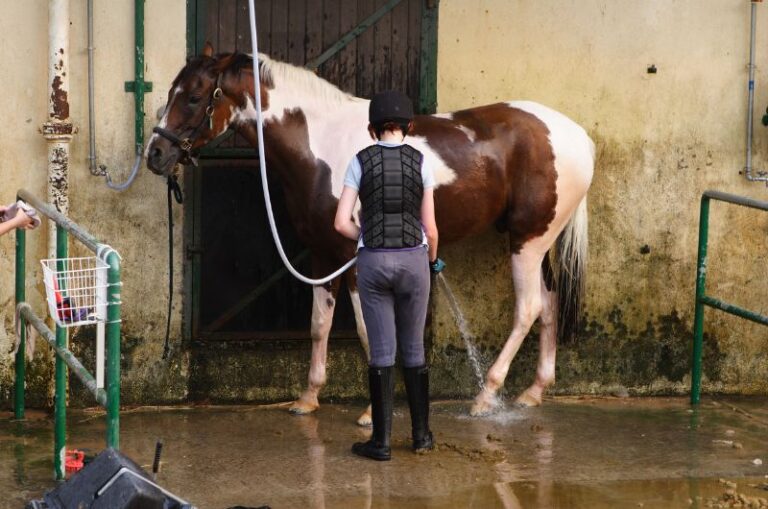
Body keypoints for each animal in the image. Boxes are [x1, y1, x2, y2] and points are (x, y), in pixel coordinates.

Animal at [146, 42, 594, 422]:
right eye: (172, 91)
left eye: (194, 97)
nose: (155, 154)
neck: (323, 146)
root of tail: (576, 135)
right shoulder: (323, 256)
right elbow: (319, 325)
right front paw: (308, 399)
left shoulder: (357, 258)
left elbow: (368, 330)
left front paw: (369, 412)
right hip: (536, 242)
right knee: (549, 305)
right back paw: (533, 392)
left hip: (528, 242)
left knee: (528, 308)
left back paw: (486, 396)